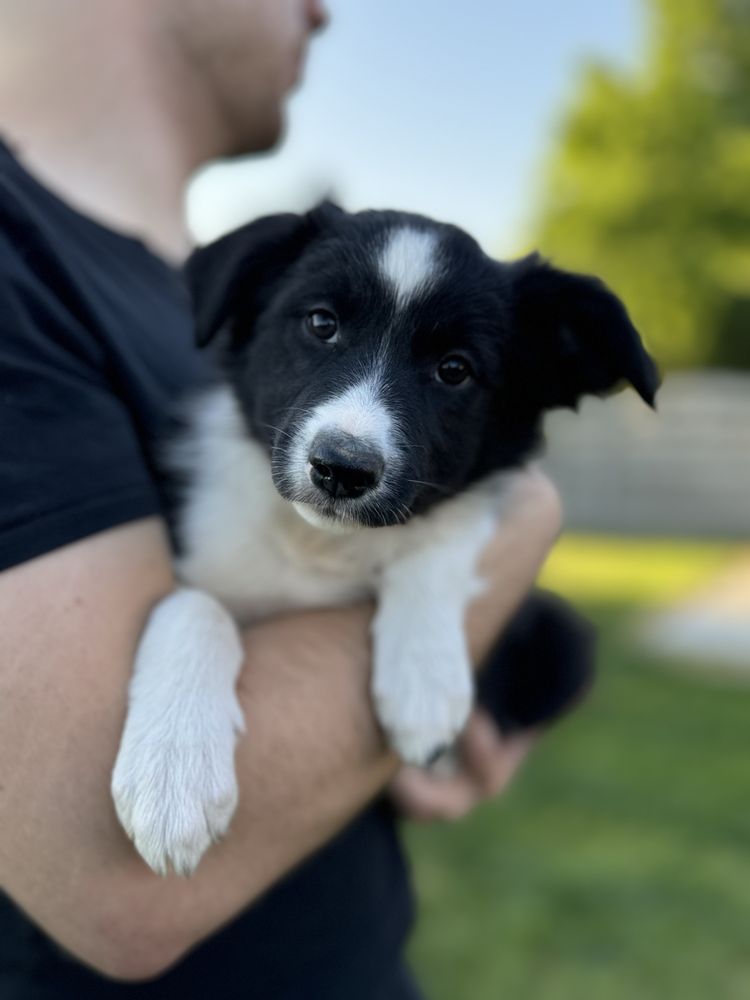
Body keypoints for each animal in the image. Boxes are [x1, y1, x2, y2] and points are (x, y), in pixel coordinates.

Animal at [110, 203, 656, 876]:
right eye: (321, 323)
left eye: (455, 370)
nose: (341, 469)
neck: (319, 543)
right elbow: (192, 605)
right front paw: (171, 778)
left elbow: (441, 531)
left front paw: (425, 684)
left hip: (563, 641)